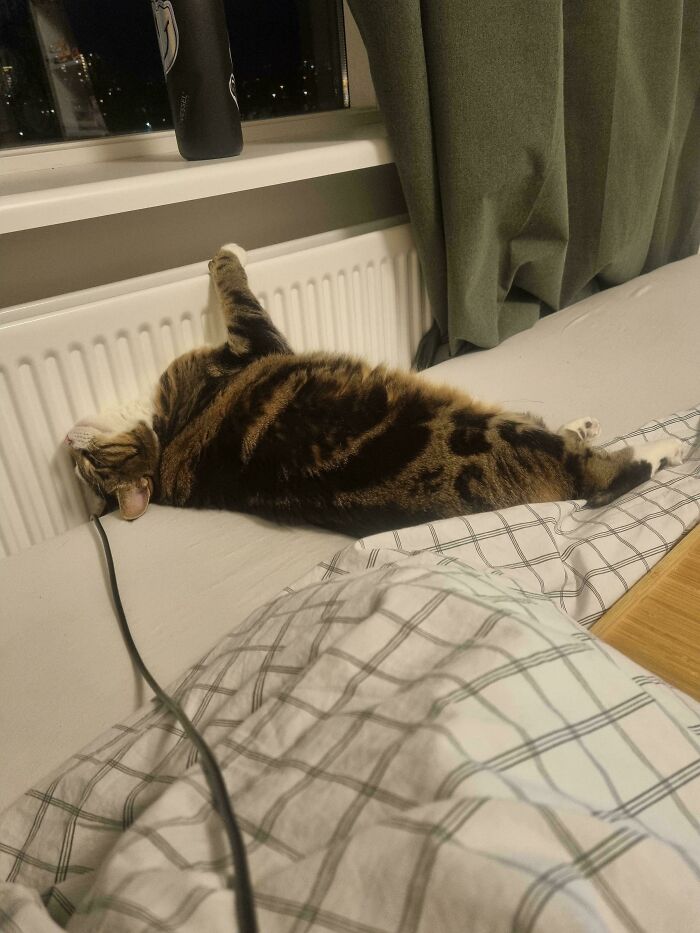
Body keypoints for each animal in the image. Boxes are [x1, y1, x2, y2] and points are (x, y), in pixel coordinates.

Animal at [67, 244, 688, 536]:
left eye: (89, 465)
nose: (69, 446)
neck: (165, 432)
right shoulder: (254, 343)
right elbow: (233, 283)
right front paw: (230, 251)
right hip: (498, 436)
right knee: (601, 474)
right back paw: (664, 448)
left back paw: (584, 425)